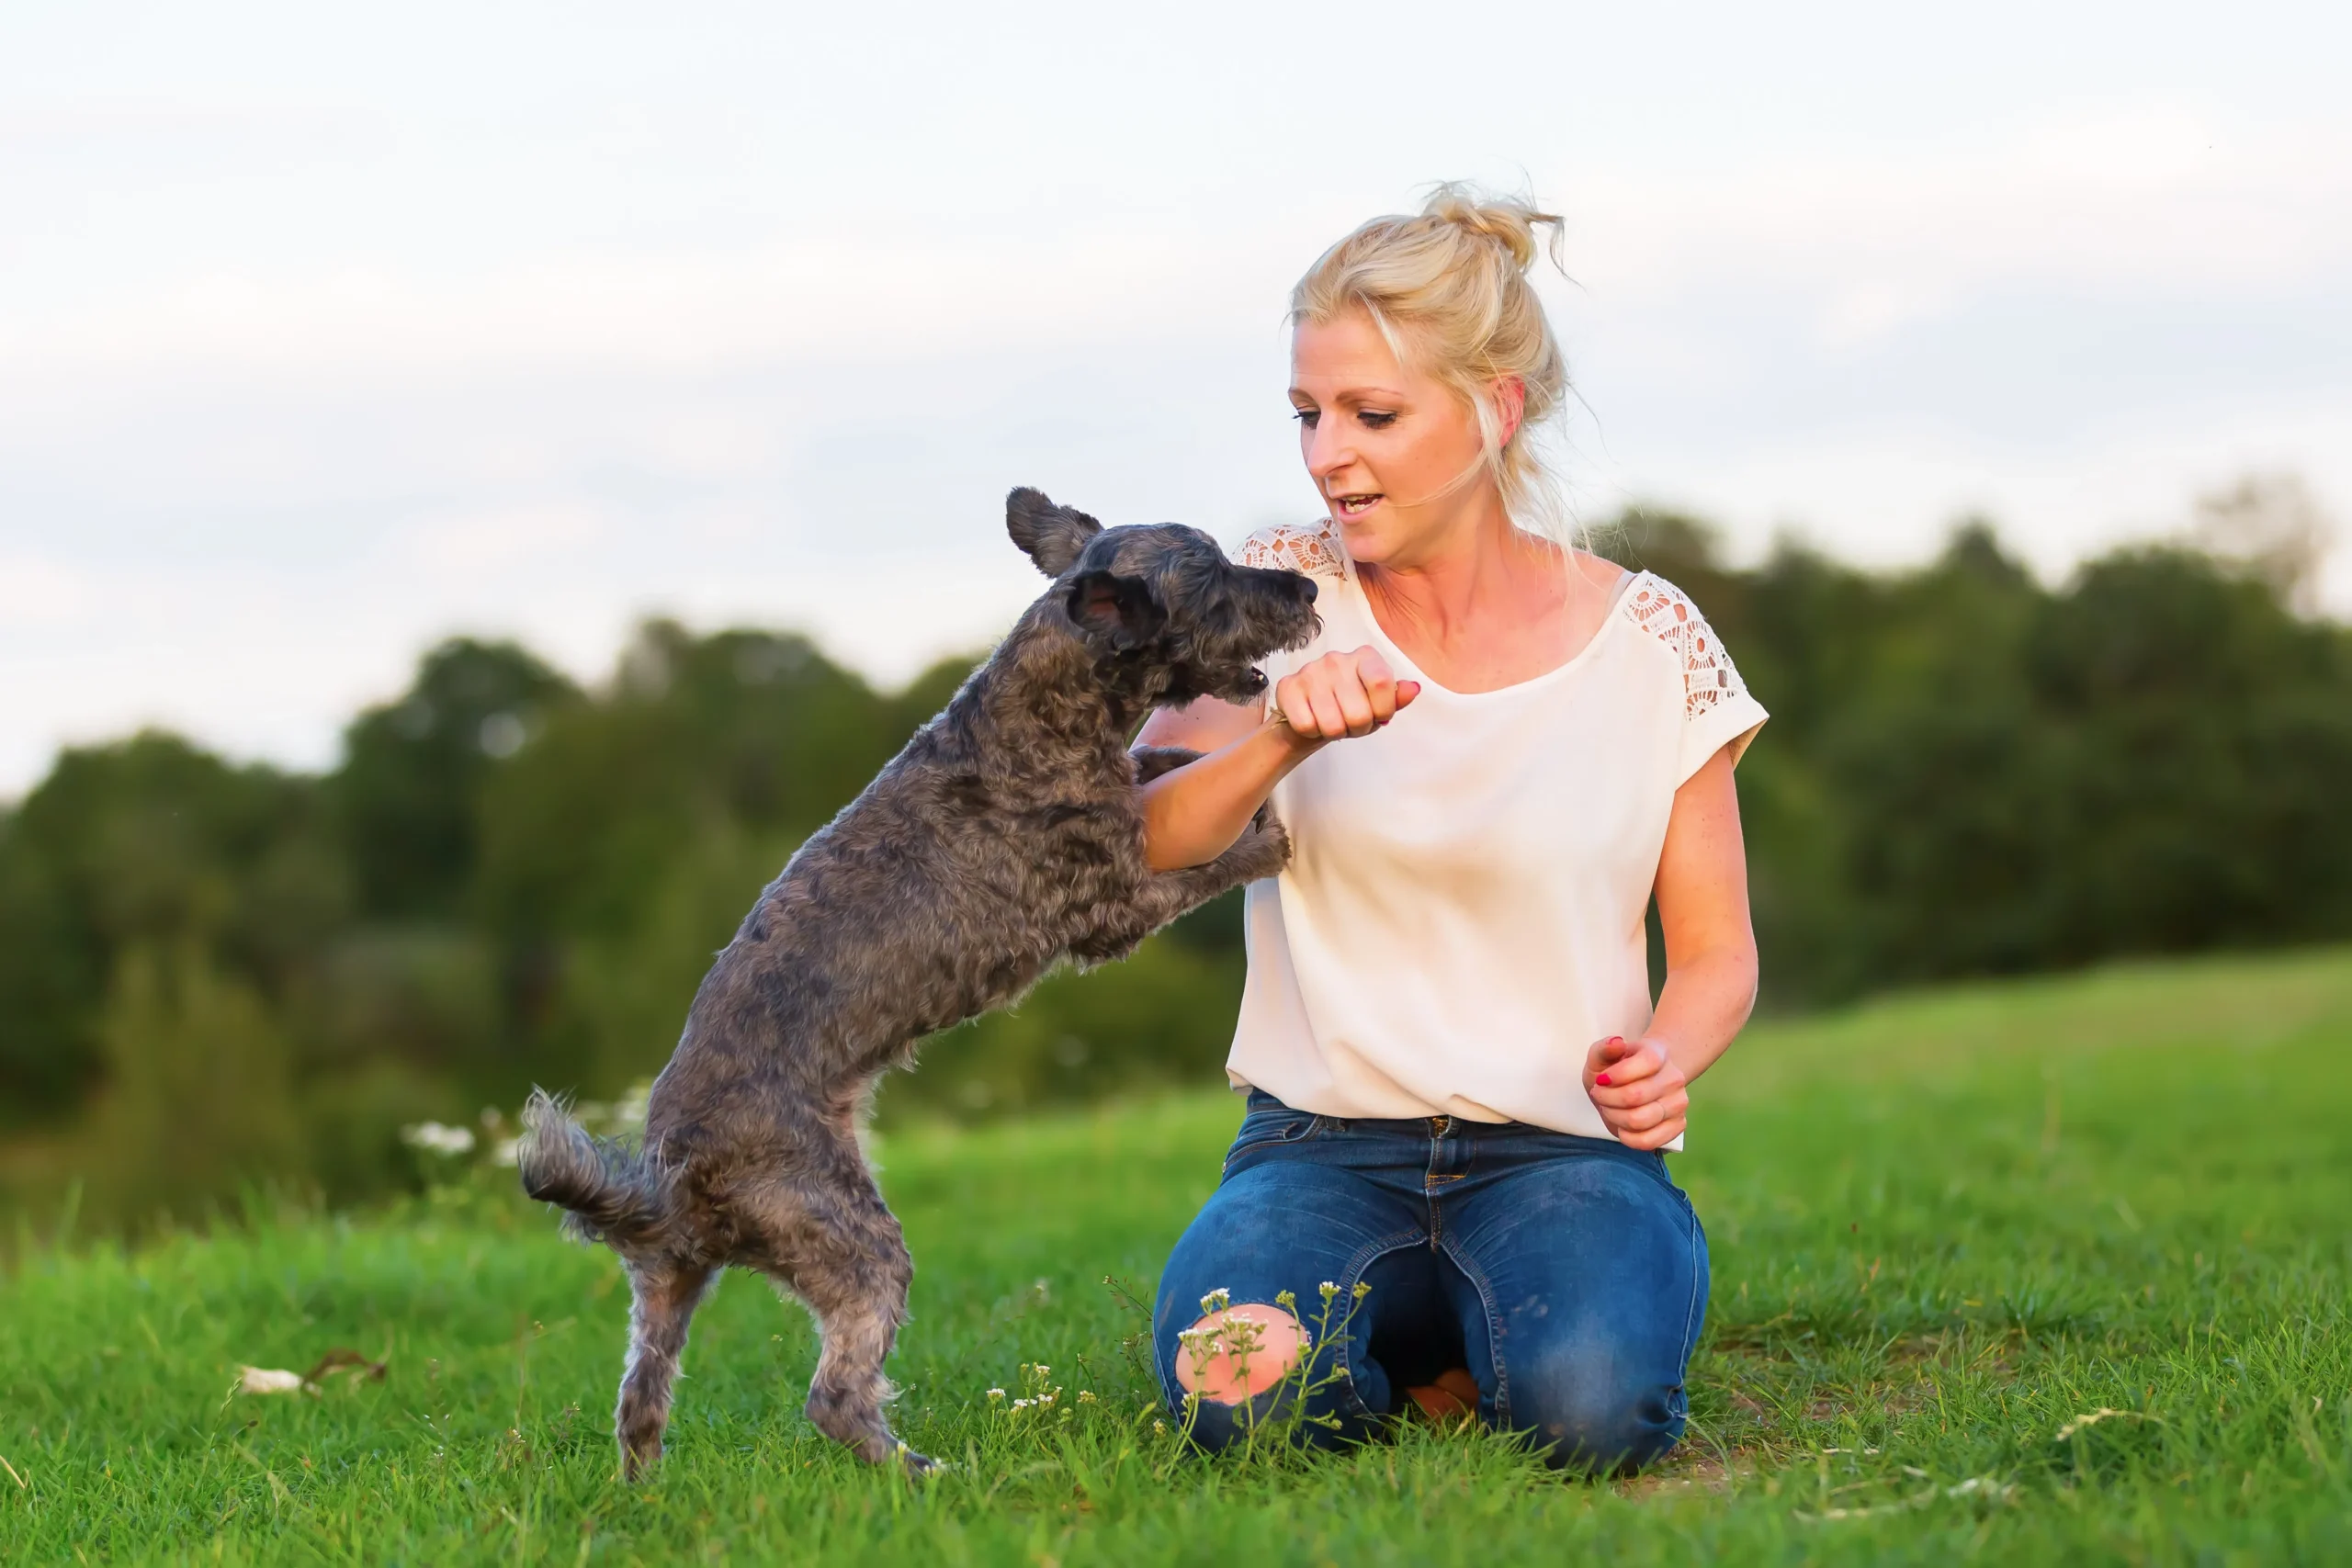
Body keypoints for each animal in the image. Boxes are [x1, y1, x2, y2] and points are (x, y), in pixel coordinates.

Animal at [514, 484, 1317, 1476]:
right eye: (1209, 577)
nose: (1301, 586)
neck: (1034, 717)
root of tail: (674, 1186)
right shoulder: (1114, 903)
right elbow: (1209, 863)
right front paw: (1268, 837)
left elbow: (1160, 764)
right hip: (856, 1240)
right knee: (833, 1398)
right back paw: (924, 1473)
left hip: (668, 1290)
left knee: (639, 1403)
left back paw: (643, 1491)